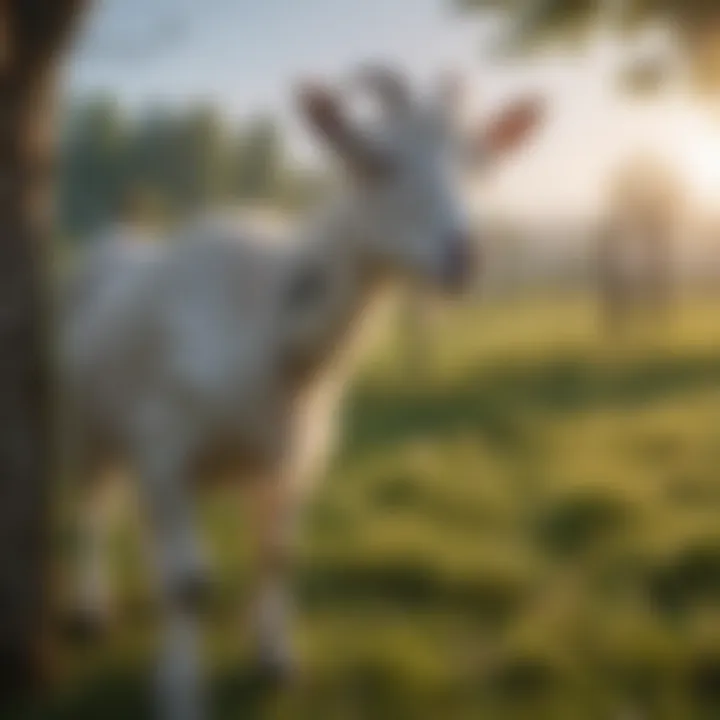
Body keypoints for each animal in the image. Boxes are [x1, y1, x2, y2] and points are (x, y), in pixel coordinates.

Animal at [60, 67, 544, 720]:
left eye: (478, 161)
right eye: (374, 160)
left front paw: (275, 661)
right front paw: (181, 696)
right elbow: (189, 585)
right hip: (84, 415)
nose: (463, 256)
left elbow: (278, 554)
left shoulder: (295, 455)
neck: (265, 324)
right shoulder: (164, 441)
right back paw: (89, 612)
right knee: (92, 502)